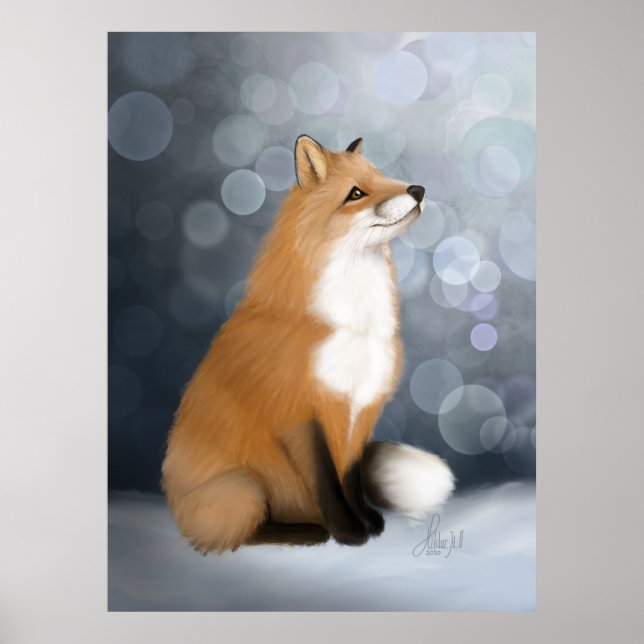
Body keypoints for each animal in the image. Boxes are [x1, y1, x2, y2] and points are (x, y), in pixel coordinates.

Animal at [161, 134, 455, 554]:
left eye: (381, 175)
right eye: (356, 193)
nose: (418, 190)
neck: (352, 326)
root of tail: (175, 506)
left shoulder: (359, 407)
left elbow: (350, 478)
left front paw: (367, 520)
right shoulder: (300, 411)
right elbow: (326, 483)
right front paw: (349, 532)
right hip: (244, 490)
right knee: (230, 537)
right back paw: (304, 532)